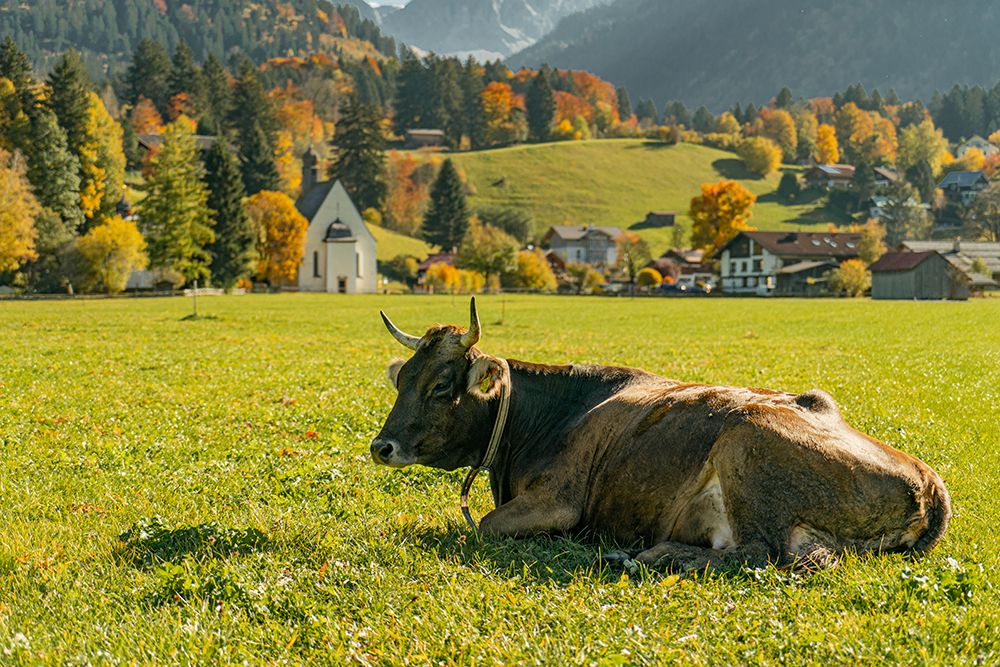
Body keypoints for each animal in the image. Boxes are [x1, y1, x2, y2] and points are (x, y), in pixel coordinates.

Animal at [372, 300, 948, 572]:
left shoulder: (558, 501)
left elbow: (485, 527)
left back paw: (644, 556)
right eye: (402, 379)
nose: (381, 447)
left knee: (757, 554)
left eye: (441, 385)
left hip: (746, 440)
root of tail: (927, 478)